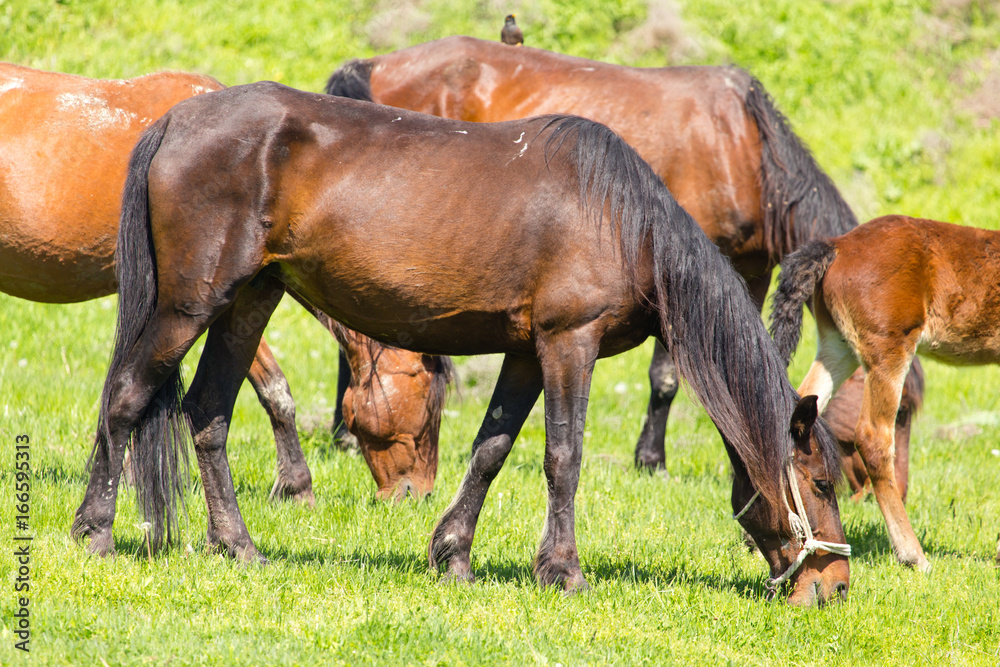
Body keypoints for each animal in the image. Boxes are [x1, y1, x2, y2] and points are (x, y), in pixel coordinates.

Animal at [72, 83, 852, 604]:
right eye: (820, 484)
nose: (837, 585)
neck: (623, 220)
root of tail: (175, 119)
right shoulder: (569, 343)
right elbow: (563, 457)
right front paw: (562, 570)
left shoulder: (526, 352)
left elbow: (490, 450)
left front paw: (452, 553)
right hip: (189, 304)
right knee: (127, 397)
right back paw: (96, 533)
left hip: (248, 302)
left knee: (207, 414)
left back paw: (238, 546)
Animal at [322, 35, 920, 474]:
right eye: (902, 415)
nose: (890, 491)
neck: (741, 143)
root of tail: (377, 63)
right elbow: (667, 376)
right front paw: (651, 458)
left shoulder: (745, 270)